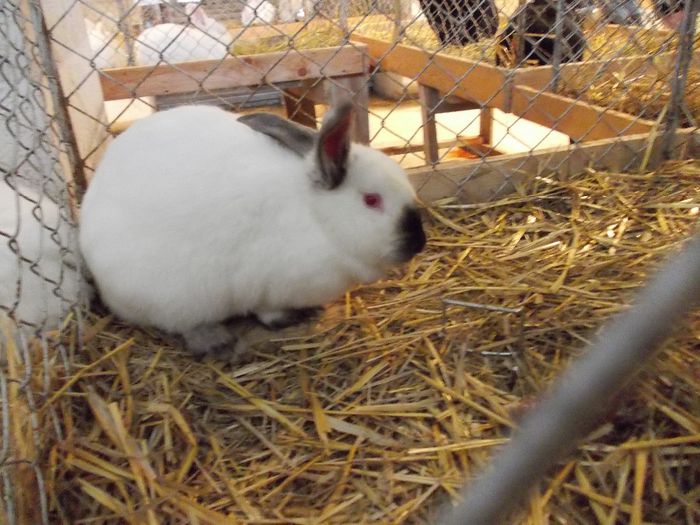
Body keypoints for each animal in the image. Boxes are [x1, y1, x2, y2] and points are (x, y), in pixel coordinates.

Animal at [78, 101, 427, 359]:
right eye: (371, 200)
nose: (418, 243)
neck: (316, 219)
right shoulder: (270, 284)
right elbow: (268, 311)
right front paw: (294, 317)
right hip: (177, 298)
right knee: (184, 323)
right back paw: (215, 341)